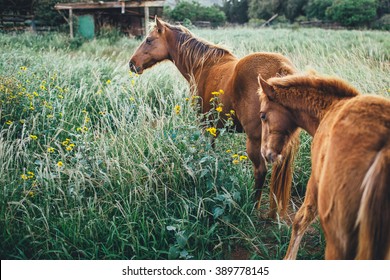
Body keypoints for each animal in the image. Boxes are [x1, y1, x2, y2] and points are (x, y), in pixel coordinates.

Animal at [129, 17, 300, 219]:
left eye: (148, 40)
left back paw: (252, 207)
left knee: (260, 170)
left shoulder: (205, 124)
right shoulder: (214, 126)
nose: (132, 63)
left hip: (254, 140)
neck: (202, 64)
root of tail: (281, 69)